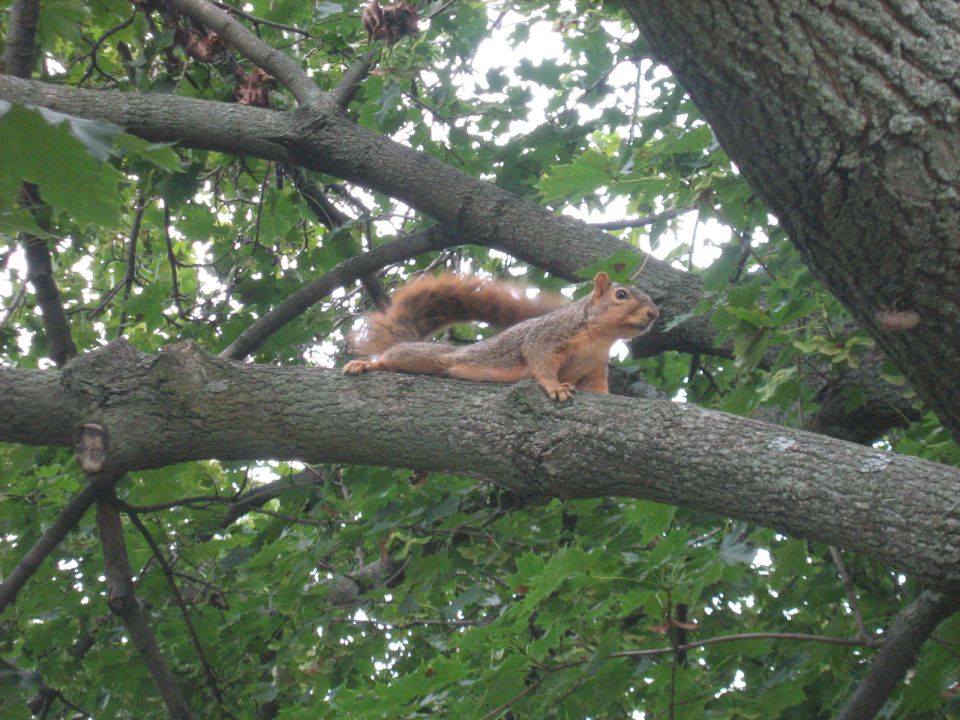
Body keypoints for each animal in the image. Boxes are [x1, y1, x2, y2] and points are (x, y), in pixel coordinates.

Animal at [344, 271, 659, 401]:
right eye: (621, 295)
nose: (654, 313)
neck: (601, 338)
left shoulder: (594, 368)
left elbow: (597, 389)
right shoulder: (547, 336)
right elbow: (540, 361)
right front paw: (555, 387)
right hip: (425, 358)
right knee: (390, 358)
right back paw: (364, 364)